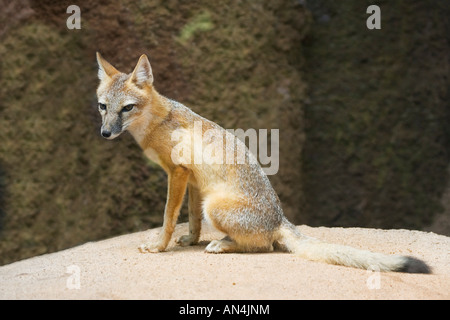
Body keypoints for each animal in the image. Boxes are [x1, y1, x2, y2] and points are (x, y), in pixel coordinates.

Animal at [96, 53, 430, 274]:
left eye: (127, 108)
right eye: (102, 107)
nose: (105, 133)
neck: (156, 122)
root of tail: (280, 218)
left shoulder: (177, 173)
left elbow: (168, 216)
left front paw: (158, 246)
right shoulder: (192, 180)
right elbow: (190, 219)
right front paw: (190, 239)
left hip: (214, 205)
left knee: (264, 246)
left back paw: (224, 244)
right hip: (208, 198)